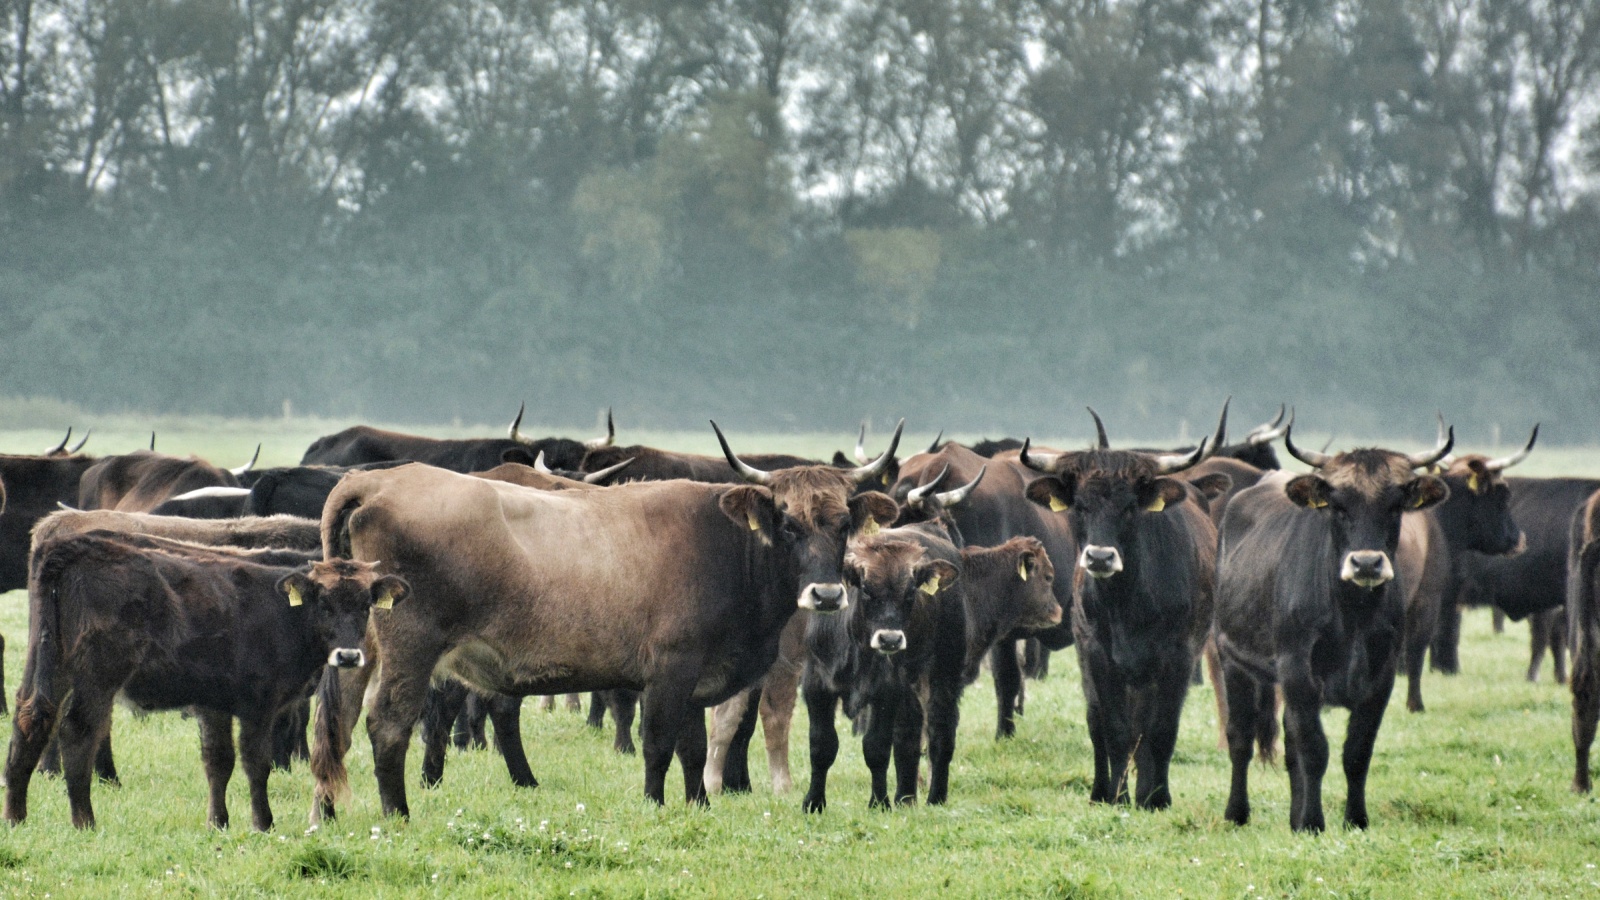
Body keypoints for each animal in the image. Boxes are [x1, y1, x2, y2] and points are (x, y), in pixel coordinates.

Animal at [4, 528, 406, 832]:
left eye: (366, 605)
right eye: (324, 603)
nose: (349, 657)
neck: (282, 609)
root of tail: (73, 547)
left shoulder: (214, 703)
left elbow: (218, 762)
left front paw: (218, 822)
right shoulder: (258, 705)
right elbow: (255, 762)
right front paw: (263, 823)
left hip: (48, 664)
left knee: (30, 721)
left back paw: (15, 817)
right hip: (96, 678)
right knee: (77, 732)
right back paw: (84, 820)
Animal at [308, 422, 902, 816]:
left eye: (843, 523)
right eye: (787, 522)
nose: (827, 594)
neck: (727, 544)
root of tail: (376, 483)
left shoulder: (698, 674)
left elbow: (692, 746)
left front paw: (699, 806)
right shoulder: (671, 668)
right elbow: (659, 741)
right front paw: (654, 805)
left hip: (360, 647)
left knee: (337, 724)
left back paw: (329, 812)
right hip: (409, 646)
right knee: (387, 724)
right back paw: (397, 814)